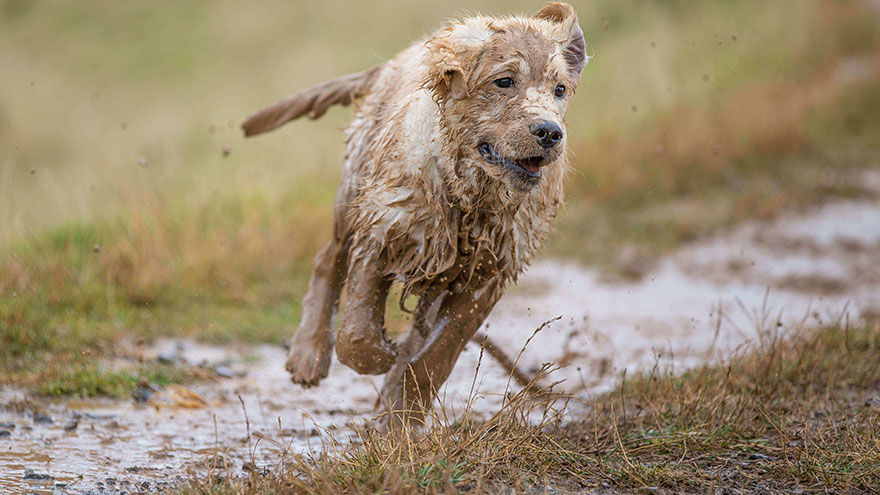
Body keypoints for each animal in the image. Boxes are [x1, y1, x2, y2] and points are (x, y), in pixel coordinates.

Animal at [241, 2, 588, 426]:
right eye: (504, 81)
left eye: (560, 90)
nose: (550, 132)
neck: (470, 197)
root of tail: (391, 63)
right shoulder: (380, 230)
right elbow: (356, 335)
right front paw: (380, 358)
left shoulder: (487, 276)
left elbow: (434, 359)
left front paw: (399, 417)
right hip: (352, 190)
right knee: (328, 258)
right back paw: (308, 354)